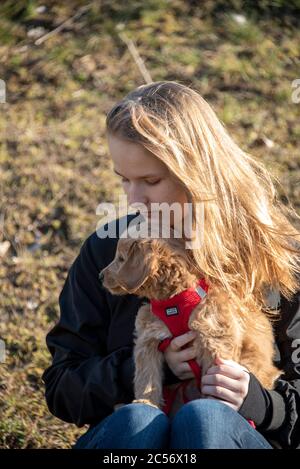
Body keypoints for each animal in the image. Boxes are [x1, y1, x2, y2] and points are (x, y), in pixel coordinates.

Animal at [99, 234, 282, 416]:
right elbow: (146, 375)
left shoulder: (215, 341)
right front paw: (146, 403)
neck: (173, 302)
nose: (100, 276)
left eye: (121, 259)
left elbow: (215, 380)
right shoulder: (148, 340)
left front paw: (215, 403)